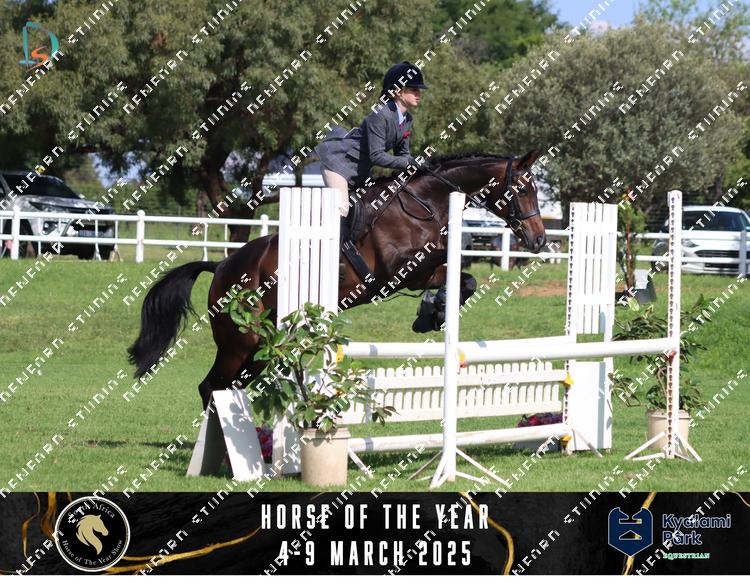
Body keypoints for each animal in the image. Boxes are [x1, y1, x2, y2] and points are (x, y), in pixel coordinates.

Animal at [127, 151, 547, 409]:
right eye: (523, 188)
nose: (539, 240)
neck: (425, 203)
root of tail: (222, 266)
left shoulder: (425, 269)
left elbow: (465, 280)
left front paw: (432, 313)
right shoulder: (398, 272)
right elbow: (448, 272)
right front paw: (430, 312)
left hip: (259, 347)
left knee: (227, 387)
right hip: (239, 341)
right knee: (211, 387)